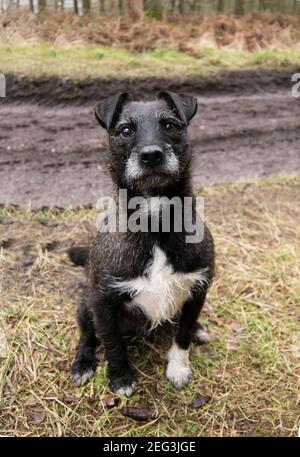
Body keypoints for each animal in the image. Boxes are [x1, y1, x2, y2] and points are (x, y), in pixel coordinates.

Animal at [69, 92, 214, 396]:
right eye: (125, 130)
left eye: (170, 125)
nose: (151, 155)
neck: (154, 219)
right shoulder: (102, 301)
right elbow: (112, 342)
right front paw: (121, 378)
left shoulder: (199, 287)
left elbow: (182, 334)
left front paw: (178, 367)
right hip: (85, 304)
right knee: (87, 335)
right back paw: (83, 362)